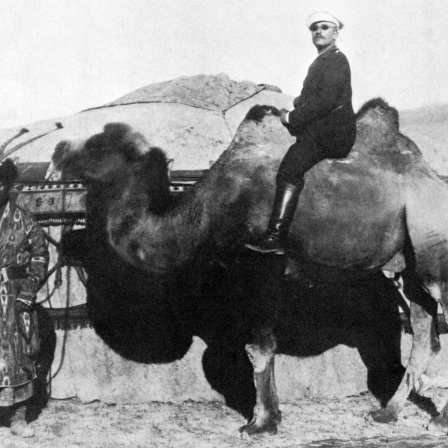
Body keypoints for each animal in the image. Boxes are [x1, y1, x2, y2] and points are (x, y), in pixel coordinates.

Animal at [51, 99, 448, 438]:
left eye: (97, 145)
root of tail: (432, 176)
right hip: (408, 263)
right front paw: (270, 417)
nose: (56, 154)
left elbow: (258, 347)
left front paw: (260, 424)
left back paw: (438, 420)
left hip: (432, 244)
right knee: (424, 330)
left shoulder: (261, 267)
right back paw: (386, 413)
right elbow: (256, 346)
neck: (205, 213)